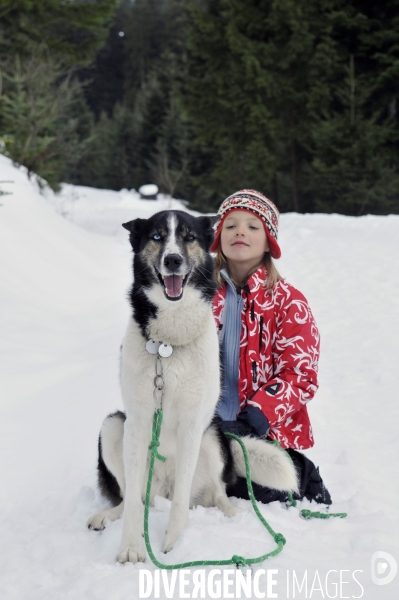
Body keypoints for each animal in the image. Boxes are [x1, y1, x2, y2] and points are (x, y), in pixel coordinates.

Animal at [88, 210, 300, 564]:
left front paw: (174, 543)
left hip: (211, 439)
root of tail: (162, 486)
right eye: (157, 237)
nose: (173, 260)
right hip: (114, 427)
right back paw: (108, 515)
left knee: (215, 491)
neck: (169, 344)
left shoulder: (191, 423)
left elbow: (182, 503)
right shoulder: (138, 420)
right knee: (135, 496)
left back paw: (234, 514)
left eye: (189, 237)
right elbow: (131, 504)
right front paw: (131, 546)